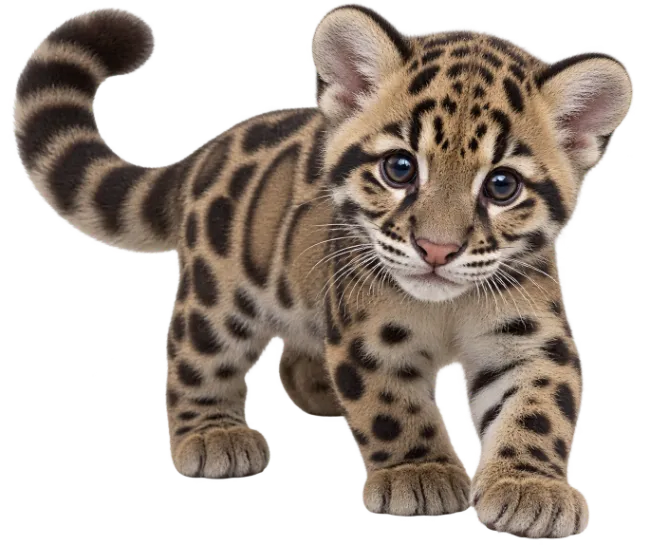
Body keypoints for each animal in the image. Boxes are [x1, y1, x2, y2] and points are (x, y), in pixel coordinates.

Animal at [12, 4, 633, 538]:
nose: (436, 249)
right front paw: (419, 471)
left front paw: (530, 487)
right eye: (399, 168)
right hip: (219, 297)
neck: (445, 307)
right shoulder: (368, 336)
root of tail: (209, 151)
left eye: (502, 185)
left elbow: (539, 407)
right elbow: (391, 407)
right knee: (193, 355)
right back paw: (213, 434)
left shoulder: (528, 336)